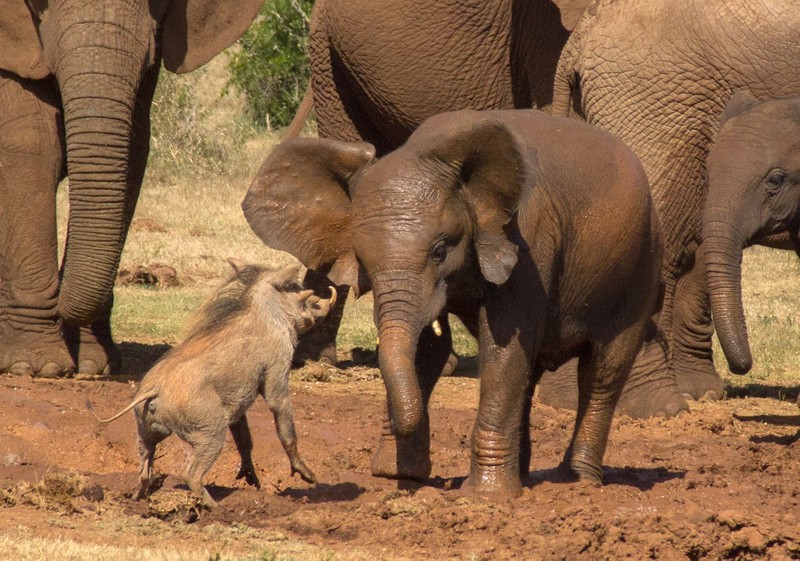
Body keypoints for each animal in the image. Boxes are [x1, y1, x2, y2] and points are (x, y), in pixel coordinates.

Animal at [0, 1, 264, 376]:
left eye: (158, 3)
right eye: (38, 3)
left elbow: (134, 149)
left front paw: (93, 365)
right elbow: (32, 147)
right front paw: (37, 366)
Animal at [89, 260, 336, 506]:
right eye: (294, 287)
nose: (326, 301)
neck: (267, 313)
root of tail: (154, 389)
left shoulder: (235, 404)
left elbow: (245, 439)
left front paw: (251, 479)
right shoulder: (277, 372)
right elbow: (285, 428)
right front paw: (308, 475)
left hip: (146, 432)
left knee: (144, 470)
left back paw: (137, 499)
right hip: (210, 433)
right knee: (191, 473)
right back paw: (216, 507)